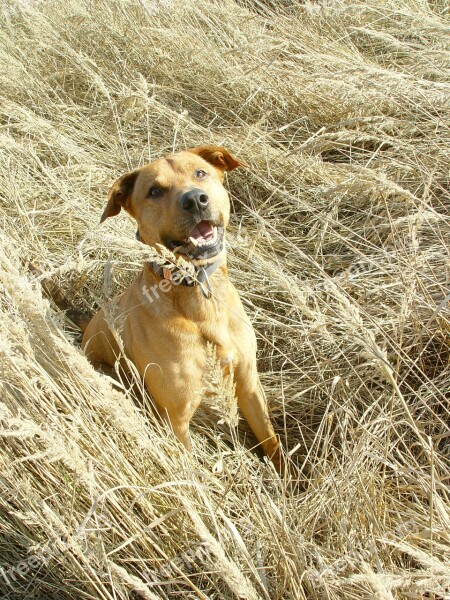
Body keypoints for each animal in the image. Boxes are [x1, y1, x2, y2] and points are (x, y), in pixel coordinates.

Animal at [81, 145, 282, 468]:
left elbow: (271, 440)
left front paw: (287, 476)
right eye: (154, 191)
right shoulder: (175, 418)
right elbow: (191, 467)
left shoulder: (249, 383)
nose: (195, 200)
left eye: (200, 173)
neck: (196, 292)